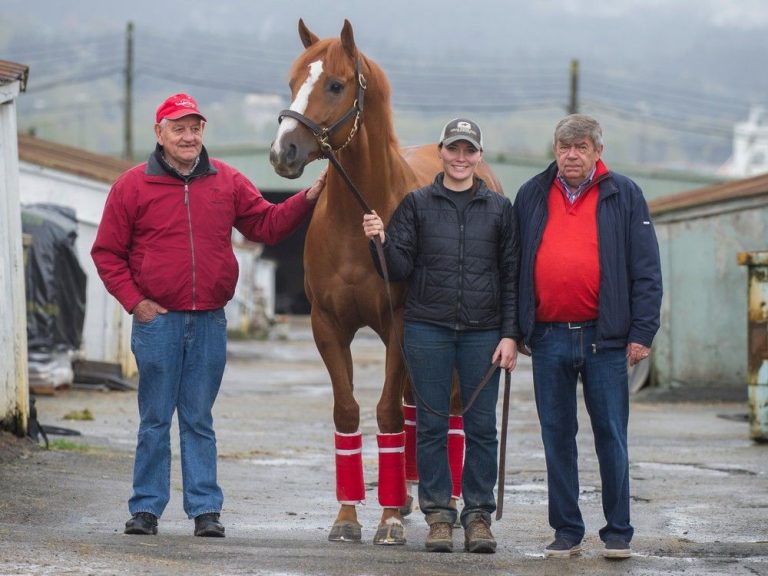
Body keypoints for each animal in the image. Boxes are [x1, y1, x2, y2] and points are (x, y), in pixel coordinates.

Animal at [270, 20, 504, 548]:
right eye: (293, 83)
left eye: (336, 85)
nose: (282, 152)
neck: (358, 219)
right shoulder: (327, 326)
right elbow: (348, 412)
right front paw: (347, 517)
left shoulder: (400, 325)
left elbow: (387, 415)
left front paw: (389, 520)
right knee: (419, 405)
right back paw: (415, 491)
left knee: (449, 409)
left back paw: (445, 497)